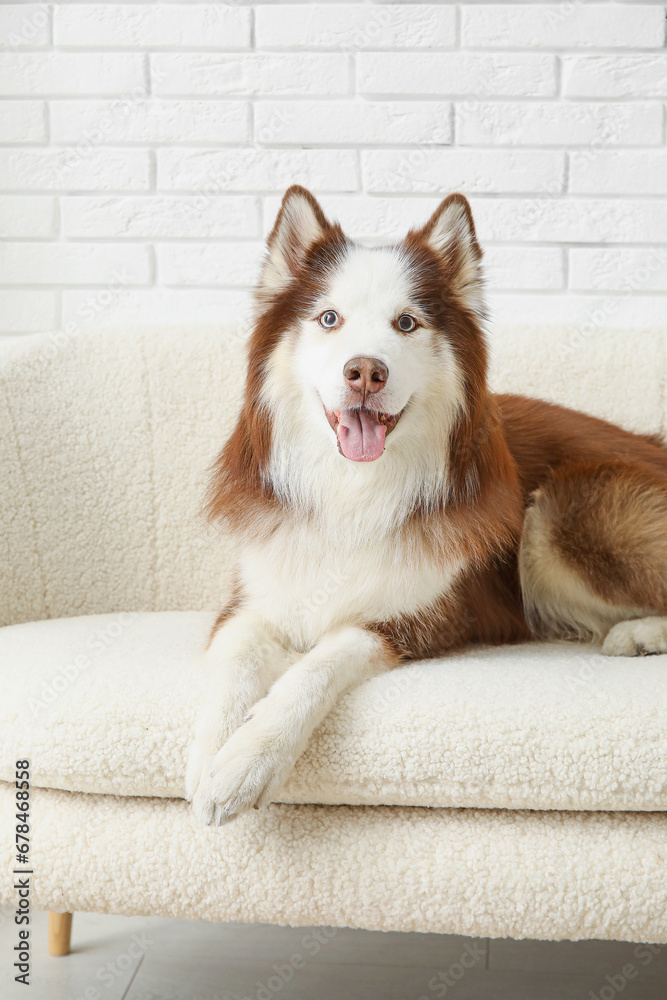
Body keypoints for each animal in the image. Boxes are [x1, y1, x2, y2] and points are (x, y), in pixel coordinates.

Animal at [185, 184, 667, 824]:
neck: (354, 489)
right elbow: (234, 661)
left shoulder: (427, 617)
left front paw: (246, 762)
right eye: (329, 318)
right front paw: (210, 757)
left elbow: (321, 661)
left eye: (407, 323)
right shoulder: (253, 598)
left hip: (563, 510)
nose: (365, 371)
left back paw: (639, 634)